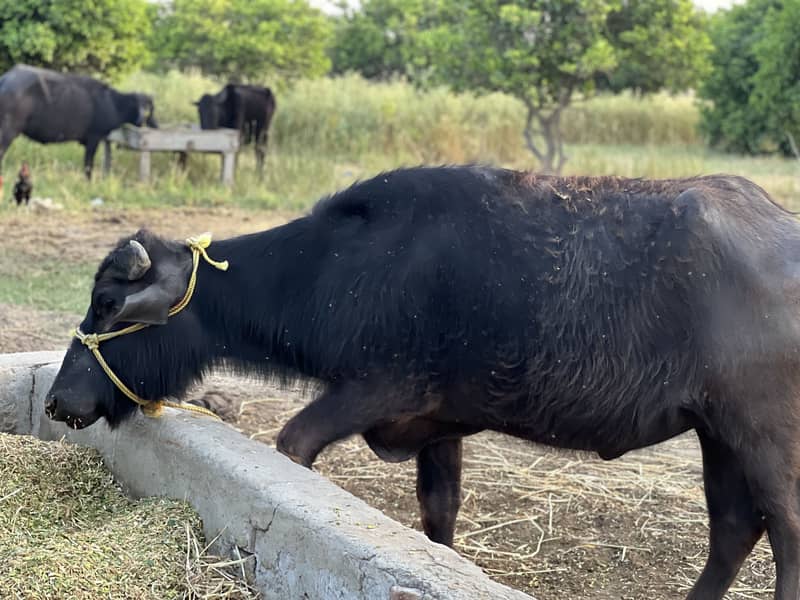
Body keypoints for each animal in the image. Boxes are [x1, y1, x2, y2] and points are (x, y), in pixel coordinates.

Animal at [0, 64, 157, 186]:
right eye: (148, 109)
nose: (155, 125)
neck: (113, 103)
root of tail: (5, 79)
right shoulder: (94, 138)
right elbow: (88, 165)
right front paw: (89, 183)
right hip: (8, 131)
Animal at [46, 166, 800, 599]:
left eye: (108, 303)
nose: (57, 400)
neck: (344, 269)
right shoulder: (442, 426)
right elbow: (439, 513)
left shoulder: (378, 391)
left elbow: (292, 446)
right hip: (717, 433)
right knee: (735, 529)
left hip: (765, 435)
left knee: (785, 529)